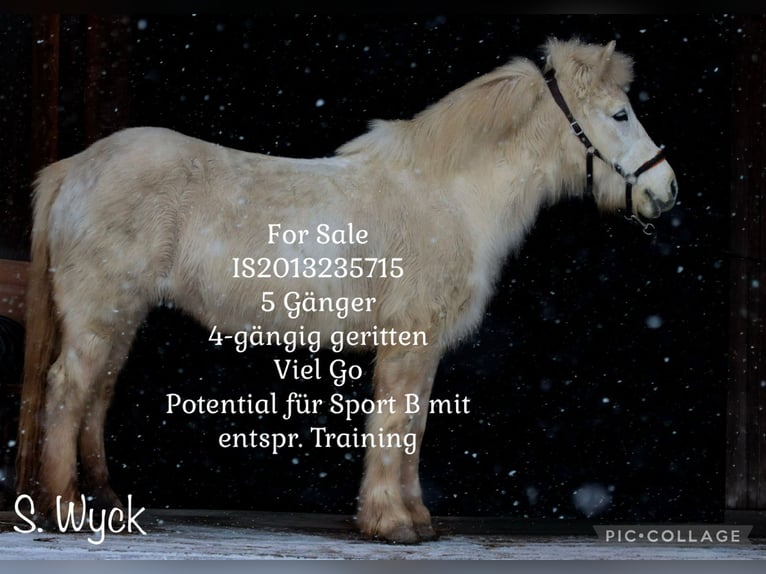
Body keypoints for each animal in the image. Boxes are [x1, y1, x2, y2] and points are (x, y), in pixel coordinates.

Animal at [16, 37, 677, 544]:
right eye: (621, 115)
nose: (666, 189)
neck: (449, 195)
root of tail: (72, 168)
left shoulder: (423, 349)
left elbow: (414, 427)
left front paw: (415, 517)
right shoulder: (409, 342)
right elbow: (395, 423)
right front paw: (392, 523)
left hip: (121, 315)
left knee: (97, 394)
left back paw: (104, 498)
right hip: (99, 312)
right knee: (68, 389)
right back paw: (65, 509)